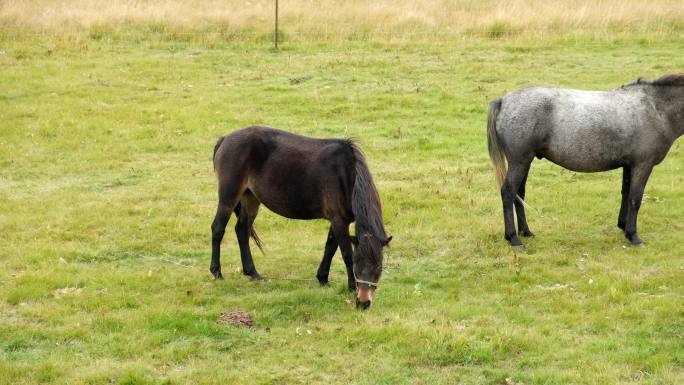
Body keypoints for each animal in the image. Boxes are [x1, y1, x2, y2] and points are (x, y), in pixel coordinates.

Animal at [210, 126, 390, 308]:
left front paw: (323, 278)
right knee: (218, 228)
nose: (364, 302)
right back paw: (217, 272)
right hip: (229, 197)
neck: (347, 174)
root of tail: (225, 139)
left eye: (379, 267)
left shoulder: (338, 220)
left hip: (251, 197)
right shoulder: (339, 221)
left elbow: (330, 247)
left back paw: (252, 273)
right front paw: (351, 287)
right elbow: (345, 253)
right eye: (357, 265)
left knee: (242, 229)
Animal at [486, 73, 684, 248]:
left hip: (525, 162)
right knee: (508, 192)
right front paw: (634, 236)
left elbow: (626, 194)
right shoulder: (642, 165)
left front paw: (623, 227)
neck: (655, 109)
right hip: (519, 162)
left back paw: (526, 232)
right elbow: (635, 198)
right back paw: (513, 239)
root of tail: (503, 101)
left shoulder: (629, 165)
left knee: (519, 193)